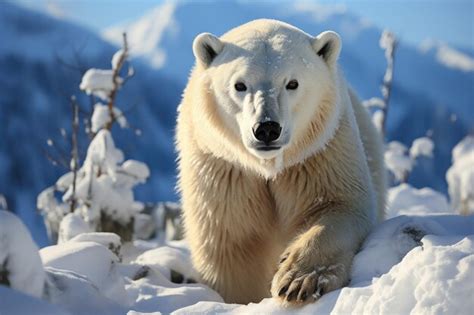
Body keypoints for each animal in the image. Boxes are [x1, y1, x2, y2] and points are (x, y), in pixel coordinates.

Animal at [176, 19, 386, 306]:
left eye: (292, 83)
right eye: (240, 85)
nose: (266, 129)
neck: (268, 166)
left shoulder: (319, 154)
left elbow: (341, 206)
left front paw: (299, 280)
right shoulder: (225, 170)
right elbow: (230, 246)